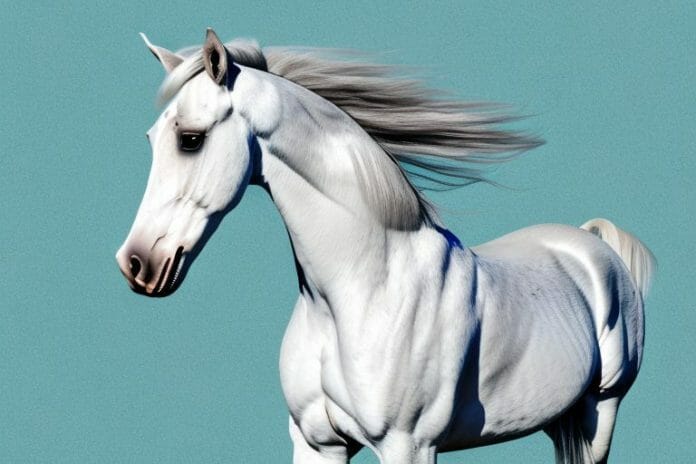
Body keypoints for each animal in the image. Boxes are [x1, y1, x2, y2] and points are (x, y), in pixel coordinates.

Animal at [116, 29, 655, 464]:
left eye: (190, 139)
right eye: (150, 139)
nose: (137, 263)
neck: (361, 291)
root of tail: (591, 243)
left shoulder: (407, 445)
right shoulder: (316, 443)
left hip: (600, 411)